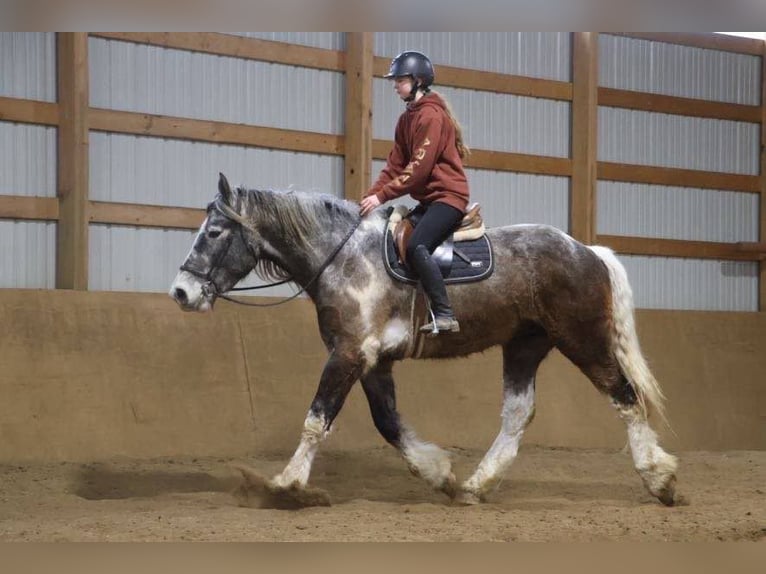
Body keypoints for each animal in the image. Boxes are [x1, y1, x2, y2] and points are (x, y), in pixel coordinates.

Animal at [169, 173, 679, 507]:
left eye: (214, 232)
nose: (181, 292)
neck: (342, 257)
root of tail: (586, 251)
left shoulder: (348, 354)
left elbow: (317, 418)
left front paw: (288, 484)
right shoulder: (372, 361)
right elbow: (388, 424)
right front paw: (439, 473)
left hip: (583, 341)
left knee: (626, 398)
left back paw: (660, 480)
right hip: (525, 345)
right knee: (518, 415)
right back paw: (476, 486)